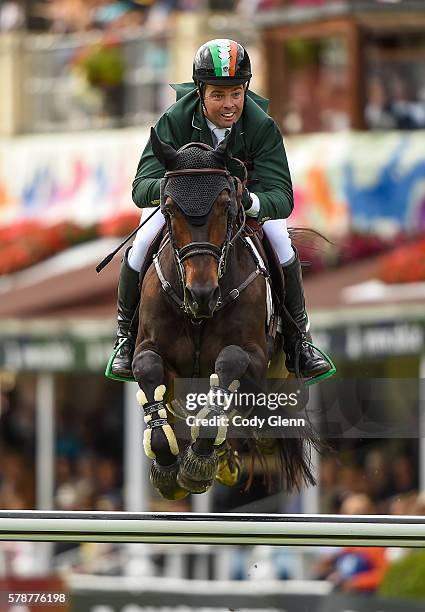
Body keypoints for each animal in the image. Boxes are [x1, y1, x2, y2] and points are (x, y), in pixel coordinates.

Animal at [132, 126, 318, 500]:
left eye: (226, 206)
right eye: (169, 209)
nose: (201, 295)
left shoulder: (255, 360)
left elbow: (230, 362)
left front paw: (196, 464)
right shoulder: (150, 350)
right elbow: (148, 370)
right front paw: (167, 467)